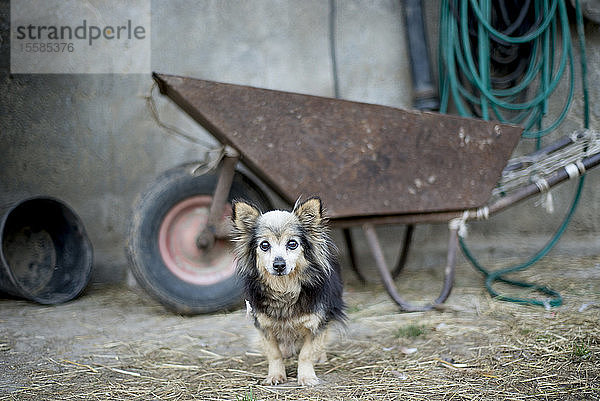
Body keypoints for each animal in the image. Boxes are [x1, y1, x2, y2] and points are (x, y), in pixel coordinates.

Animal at [231, 196, 344, 384]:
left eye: (292, 244)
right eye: (264, 245)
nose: (279, 264)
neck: (284, 288)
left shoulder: (316, 322)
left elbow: (306, 353)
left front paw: (306, 376)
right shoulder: (264, 326)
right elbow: (274, 353)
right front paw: (275, 375)